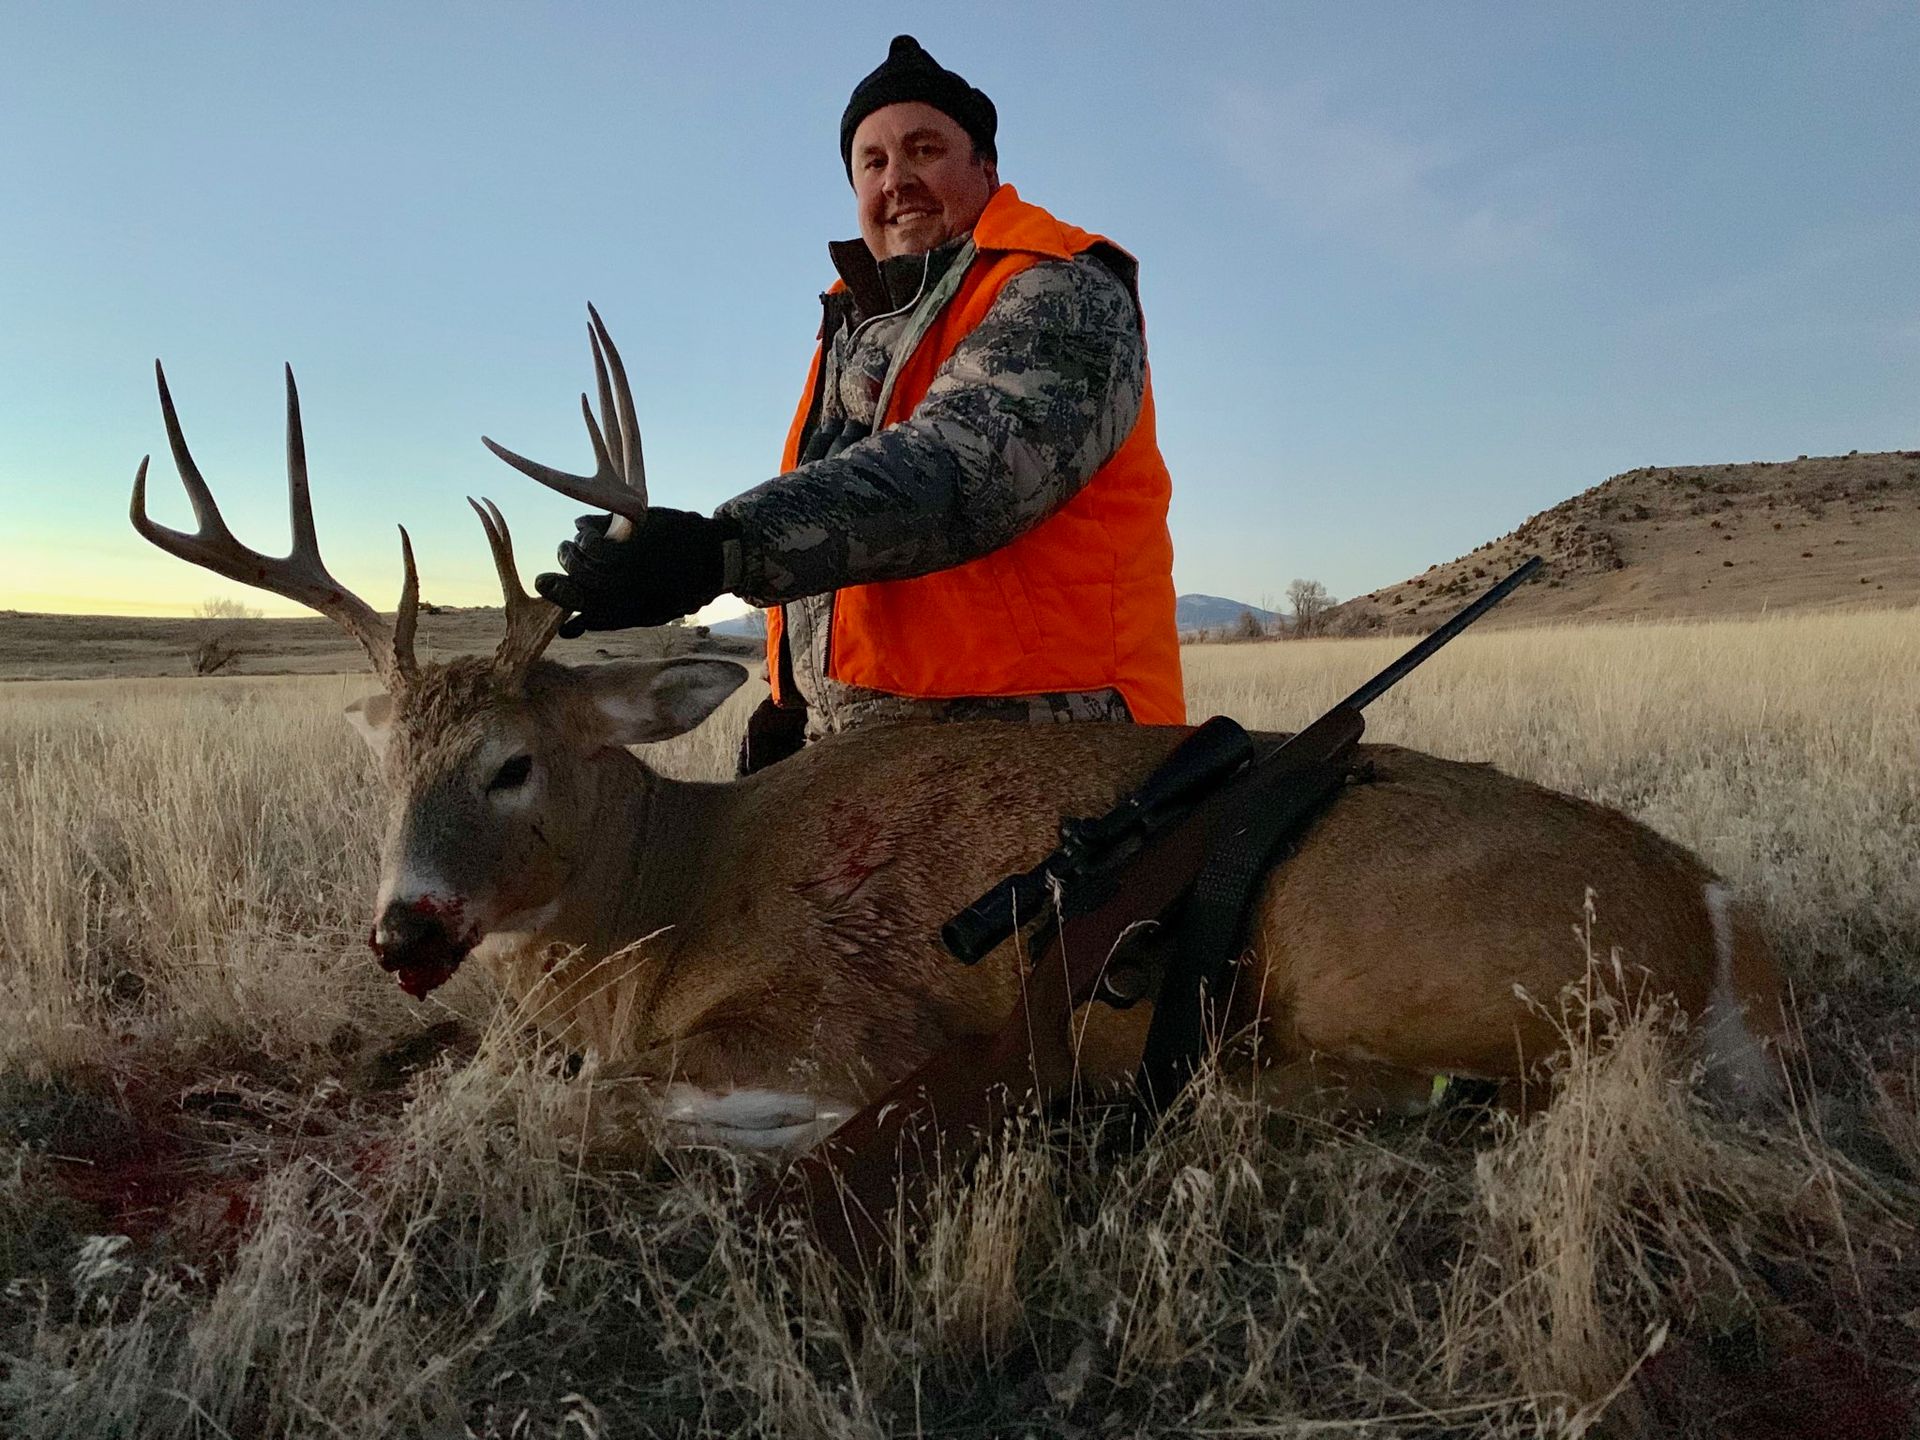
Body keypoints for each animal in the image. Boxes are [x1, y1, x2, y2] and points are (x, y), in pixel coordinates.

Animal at [129, 312, 1791, 1149]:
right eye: (381, 764)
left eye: (512, 761)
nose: (402, 929)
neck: (664, 901)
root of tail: (1719, 924)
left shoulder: (841, 1021)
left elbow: (598, 1103)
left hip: (1369, 947)